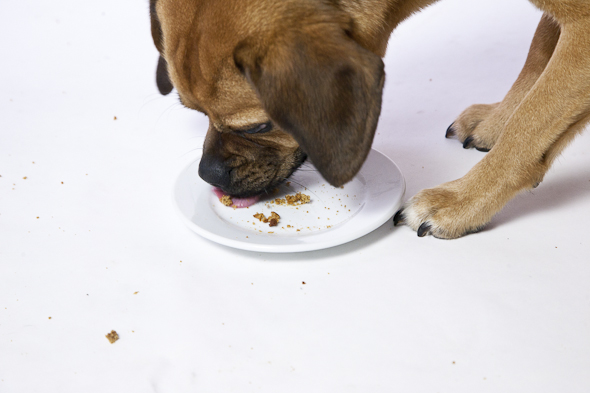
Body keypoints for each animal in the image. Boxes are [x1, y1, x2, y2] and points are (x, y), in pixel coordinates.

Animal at [150, 0, 590, 237]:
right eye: (196, 112)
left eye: (259, 126)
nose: (207, 175)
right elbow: (538, 54)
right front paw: (499, 120)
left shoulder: (583, 29)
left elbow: (529, 126)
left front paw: (460, 202)